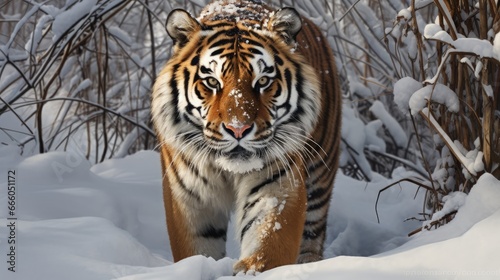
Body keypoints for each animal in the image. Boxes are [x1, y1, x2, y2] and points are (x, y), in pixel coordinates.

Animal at [150, 0, 342, 274]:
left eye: (262, 81)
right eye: (212, 82)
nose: (238, 129)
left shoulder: (276, 187)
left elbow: (268, 243)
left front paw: (249, 271)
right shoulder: (188, 200)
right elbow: (196, 249)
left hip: (320, 173)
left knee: (312, 234)